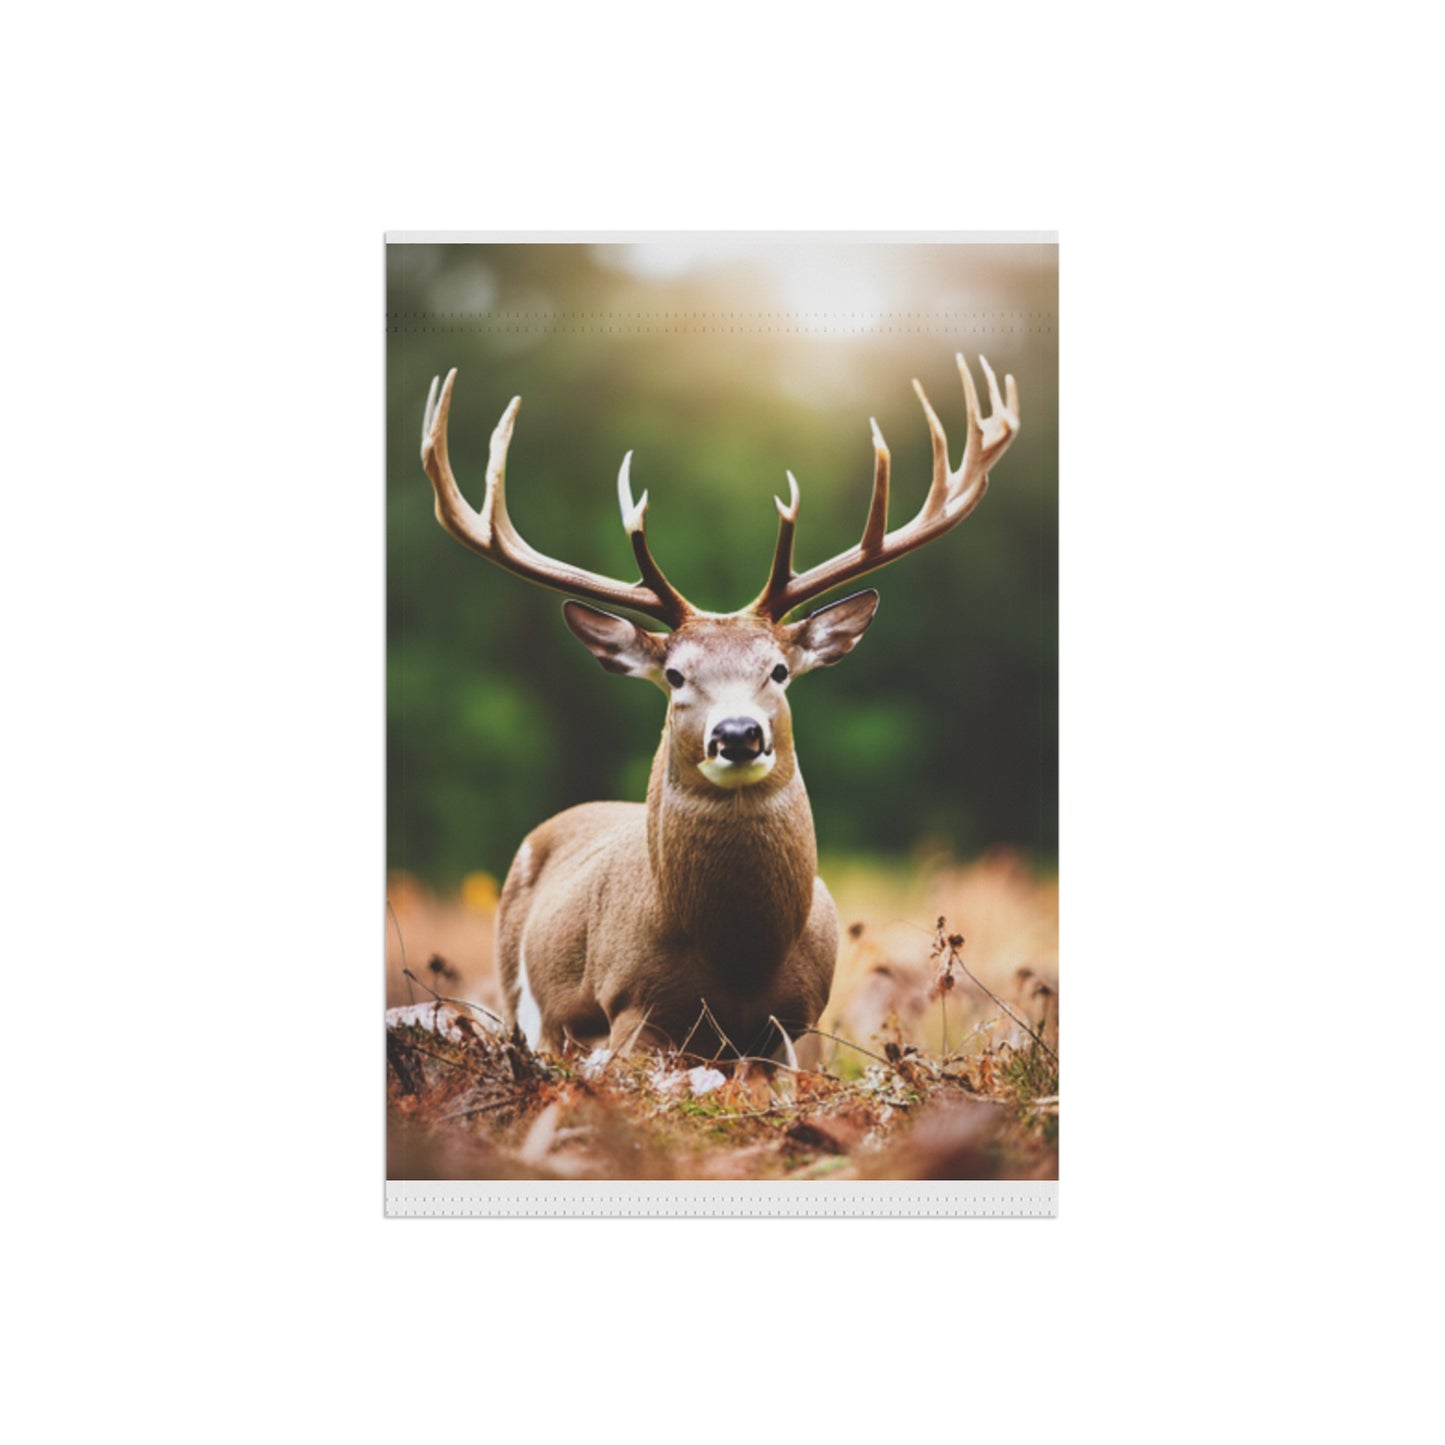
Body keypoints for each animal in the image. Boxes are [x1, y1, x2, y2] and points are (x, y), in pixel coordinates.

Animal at [419, 354, 1020, 1062]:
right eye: (676, 675)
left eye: (779, 670)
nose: (738, 734)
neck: (740, 957)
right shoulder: (631, 1007)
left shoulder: (800, 1022)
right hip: (523, 1000)